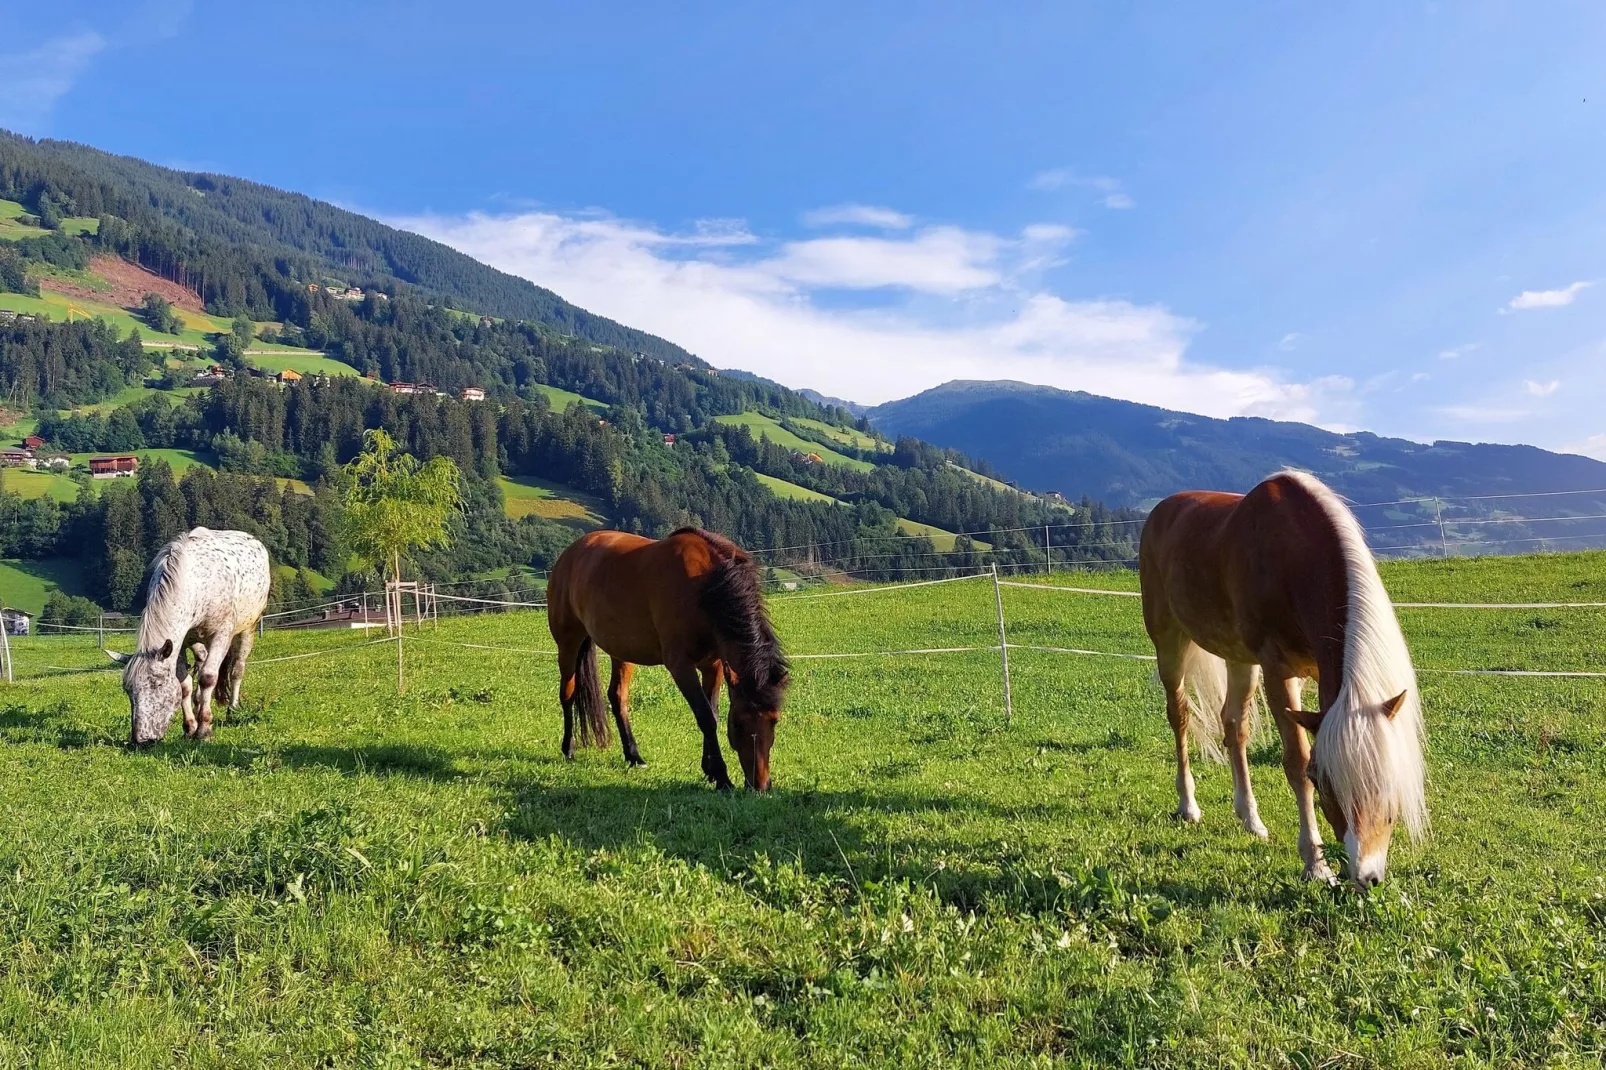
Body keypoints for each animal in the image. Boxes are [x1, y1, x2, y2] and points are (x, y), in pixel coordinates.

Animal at [108, 523, 269, 742]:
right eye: (128, 690)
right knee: (201, 661)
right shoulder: (179, 643)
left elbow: (208, 677)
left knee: (236, 669)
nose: (140, 739)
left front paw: (204, 730)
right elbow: (184, 685)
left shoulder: (221, 634)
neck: (197, 582)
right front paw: (190, 727)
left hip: (247, 629)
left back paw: (232, 709)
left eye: (157, 684)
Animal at [546, 523, 790, 784]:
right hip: (568, 643)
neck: (705, 588)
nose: (760, 784)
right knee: (568, 693)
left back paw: (634, 755)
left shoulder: (713, 665)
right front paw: (721, 776)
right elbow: (705, 717)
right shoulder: (681, 666)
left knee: (617, 696)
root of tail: (569, 554)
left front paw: (710, 770)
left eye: (774, 720)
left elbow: (712, 713)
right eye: (738, 724)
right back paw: (569, 748)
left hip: (622, 650)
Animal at [1137, 472, 1426, 880]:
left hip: (1239, 658)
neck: (1296, 559)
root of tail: (1162, 510)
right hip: (1169, 641)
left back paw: (1250, 818)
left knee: (1234, 725)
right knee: (1180, 716)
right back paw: (1188, 806)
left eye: (1388, 779)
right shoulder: (1277, 670)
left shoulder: (1314, 670)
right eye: (1323, 782)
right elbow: (1296, 761)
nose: (1366, 875)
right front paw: (1315, 863)